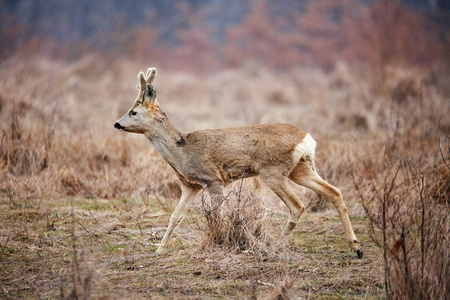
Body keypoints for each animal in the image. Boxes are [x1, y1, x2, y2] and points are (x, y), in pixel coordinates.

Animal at [114, 67, 364, 258]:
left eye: (133, 111)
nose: (117, 124)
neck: (182, 151)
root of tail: (306, 138)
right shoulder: (190, 185)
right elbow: (176, 216)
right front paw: (159, 249)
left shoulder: (213, 179)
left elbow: (217, 214)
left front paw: (221, 241)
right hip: (301, 169)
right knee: (334, 192)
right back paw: (356, 247)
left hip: (272, 171)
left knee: (297, 205)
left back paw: (276, 245)